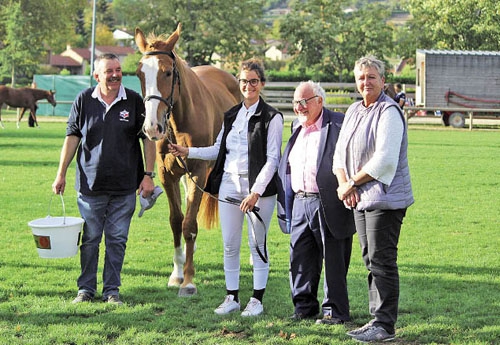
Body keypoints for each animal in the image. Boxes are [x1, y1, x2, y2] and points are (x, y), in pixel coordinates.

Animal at [135, 23, 240, 296]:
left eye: (168, 72)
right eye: (140, 73)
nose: (152, 127)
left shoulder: (199, 174)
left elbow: (190, 224)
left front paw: (189, 280)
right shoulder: (167, 175)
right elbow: (176, 221)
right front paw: (177, 273)